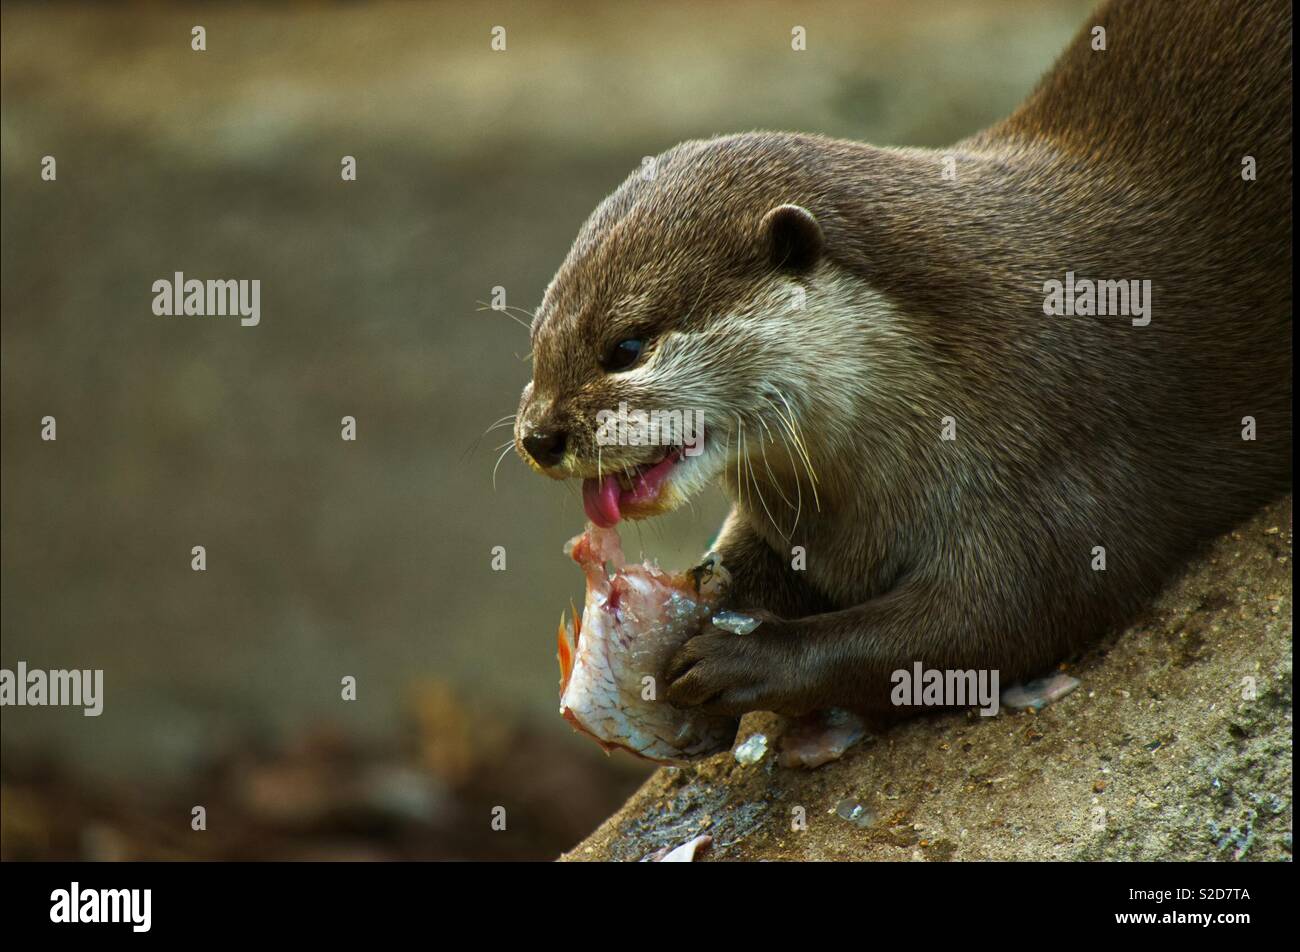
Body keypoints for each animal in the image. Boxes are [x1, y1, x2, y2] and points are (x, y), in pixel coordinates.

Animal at [514, 0, 1292, 720]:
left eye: (627, 346)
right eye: (537, 341)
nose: (538, 436)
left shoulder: (1056, 449)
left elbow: (994, 619)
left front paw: (744, 658)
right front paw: (707, 588)